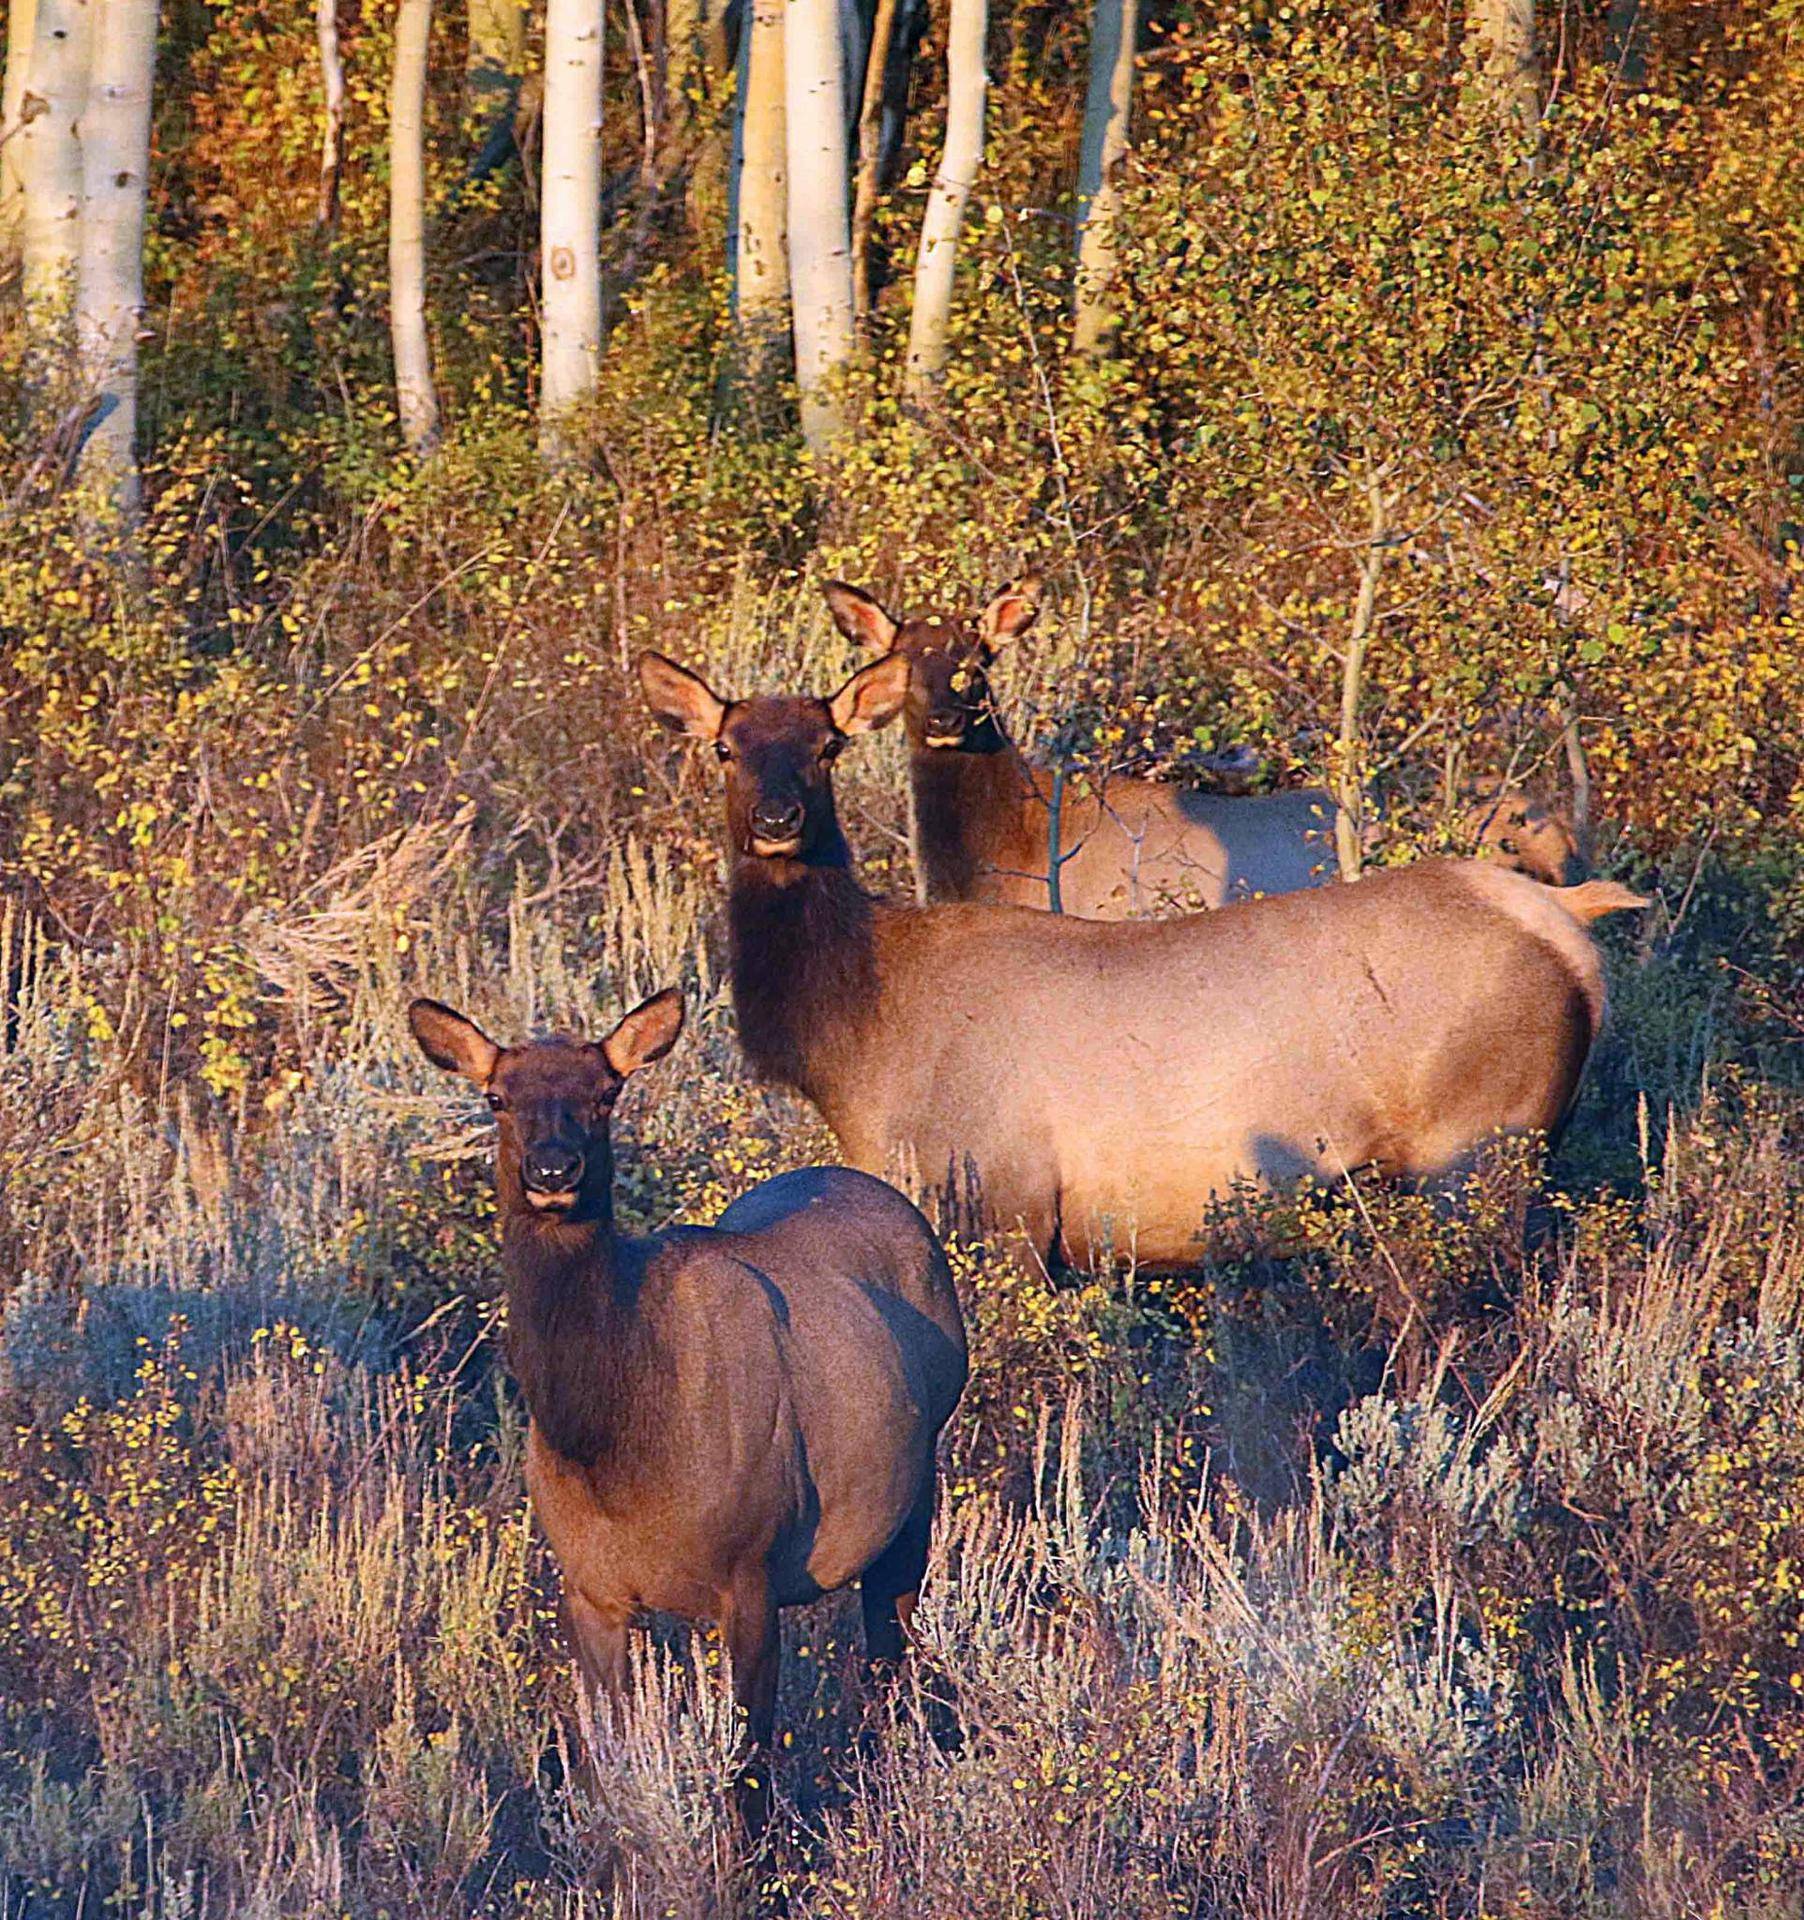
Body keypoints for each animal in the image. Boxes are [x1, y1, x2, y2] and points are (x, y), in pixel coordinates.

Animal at [410, 990, 971, 1827]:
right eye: (497, 1098)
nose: (554, 1168)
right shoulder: (591, 1586)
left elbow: (747, 1772)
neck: (618, 1455)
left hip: (914, 1493)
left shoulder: (752, 1570)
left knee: (889, 1659)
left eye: (605, 1094)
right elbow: (606, 1767)